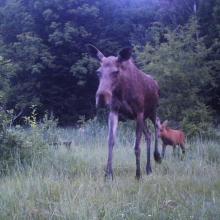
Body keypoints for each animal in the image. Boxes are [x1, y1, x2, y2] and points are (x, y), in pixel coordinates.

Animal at [88, 45, 162, 180]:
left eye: (116, 72)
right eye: (98, 72)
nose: (101, 97)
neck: (122, 91)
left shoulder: (139, 112)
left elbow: (137, 146)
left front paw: (138, 174)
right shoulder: (114, 111)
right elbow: (111, 141)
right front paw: (108, 174)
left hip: (151, 110)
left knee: (157, 124)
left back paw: (157, 156)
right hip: (143, 117)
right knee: (148, 135)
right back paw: (148, 168)